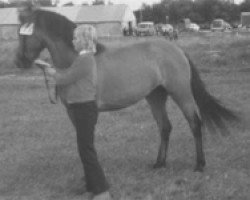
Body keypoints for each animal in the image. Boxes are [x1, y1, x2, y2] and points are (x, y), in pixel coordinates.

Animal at [15, 7, 238, 172]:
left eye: (23, 36)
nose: (19, 62)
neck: (78, 60)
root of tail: (178, 50)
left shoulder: (82, 111)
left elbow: (85, 143)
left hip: (181, 93)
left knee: (195, 123)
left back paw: (199, 165)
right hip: (155, 97)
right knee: (165, 127)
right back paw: (159, 163)